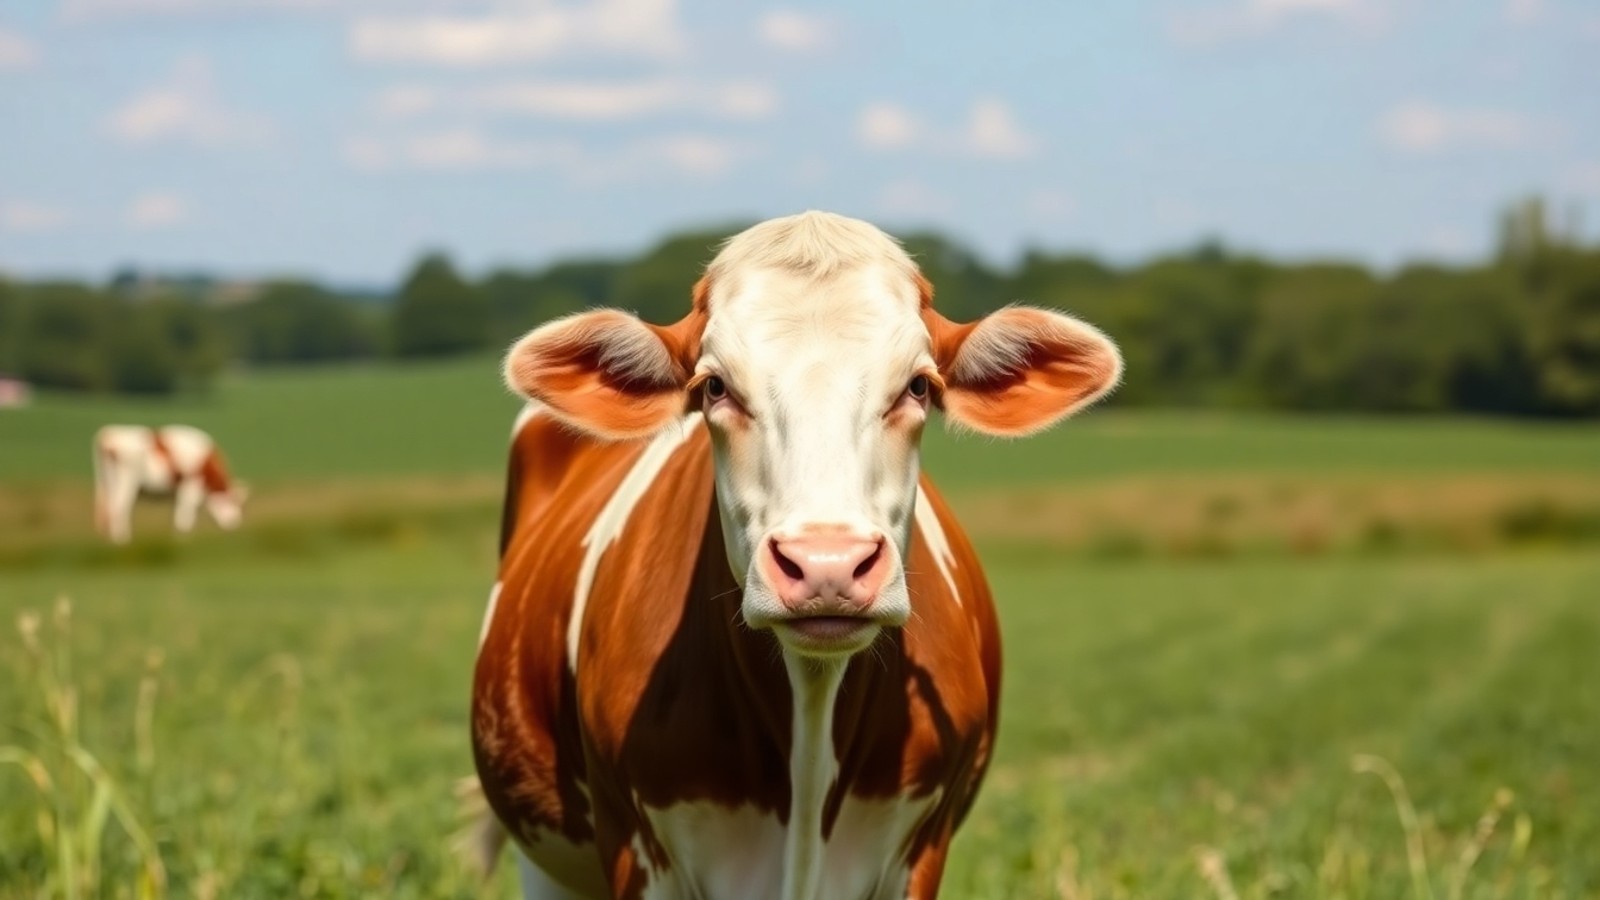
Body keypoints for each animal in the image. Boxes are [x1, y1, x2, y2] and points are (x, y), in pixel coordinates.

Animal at [93, 424, 249, 544]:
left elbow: (177, 515)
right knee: (119, 506)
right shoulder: (190, 486)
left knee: (109, 508)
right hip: (127, 479)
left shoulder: (177, 491)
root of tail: (109, 434)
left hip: (108, 481)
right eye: (232, 501)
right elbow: (185, 514)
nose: (234, 522)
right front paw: (185, 537)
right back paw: (123, 540)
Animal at [470, 211, 1122, 900]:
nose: (826, 565)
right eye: (715, 387)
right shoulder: (635, 847)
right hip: (547, 863)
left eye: (918, 386)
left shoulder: (924, 846)